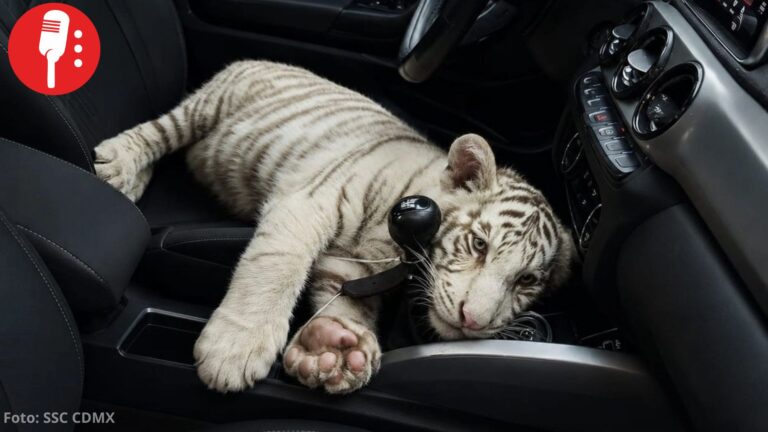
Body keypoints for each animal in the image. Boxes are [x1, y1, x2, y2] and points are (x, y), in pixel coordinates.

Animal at [93, 60, 575, 394]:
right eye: (478, 244)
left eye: (526, 280)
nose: (472, 322)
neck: (396, 246)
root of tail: (265, 59)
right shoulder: (307, 204)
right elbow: (275, 269)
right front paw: (234, 349)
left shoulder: (352, 265)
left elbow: (346, 304)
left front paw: (334, 348)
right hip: (208, 105)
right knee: (159, 131)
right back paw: (117, 165)